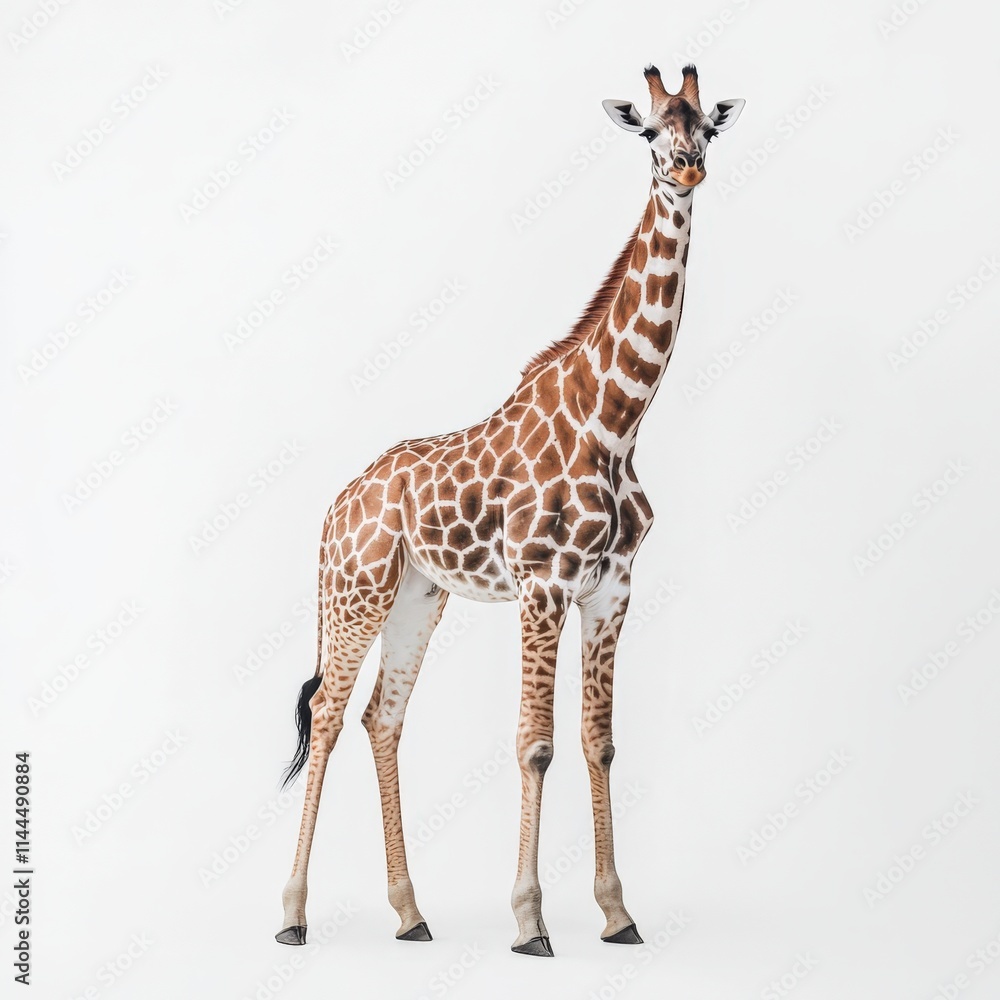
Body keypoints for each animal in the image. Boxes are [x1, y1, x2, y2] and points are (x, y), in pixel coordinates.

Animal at [276, 63, 744, 956]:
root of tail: (334, 508)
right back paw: (292, 914)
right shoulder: (542, 583)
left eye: (707, 125)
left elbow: (599, 742)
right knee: (326, 711)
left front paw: (617, 915)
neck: (617, 418)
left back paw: (411, 914)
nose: (687, 169)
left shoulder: (611, 589)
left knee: (381, 718)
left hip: (417, 597)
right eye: (649, 131)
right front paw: (530, 922)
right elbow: (536, 745)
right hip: (355, 592)